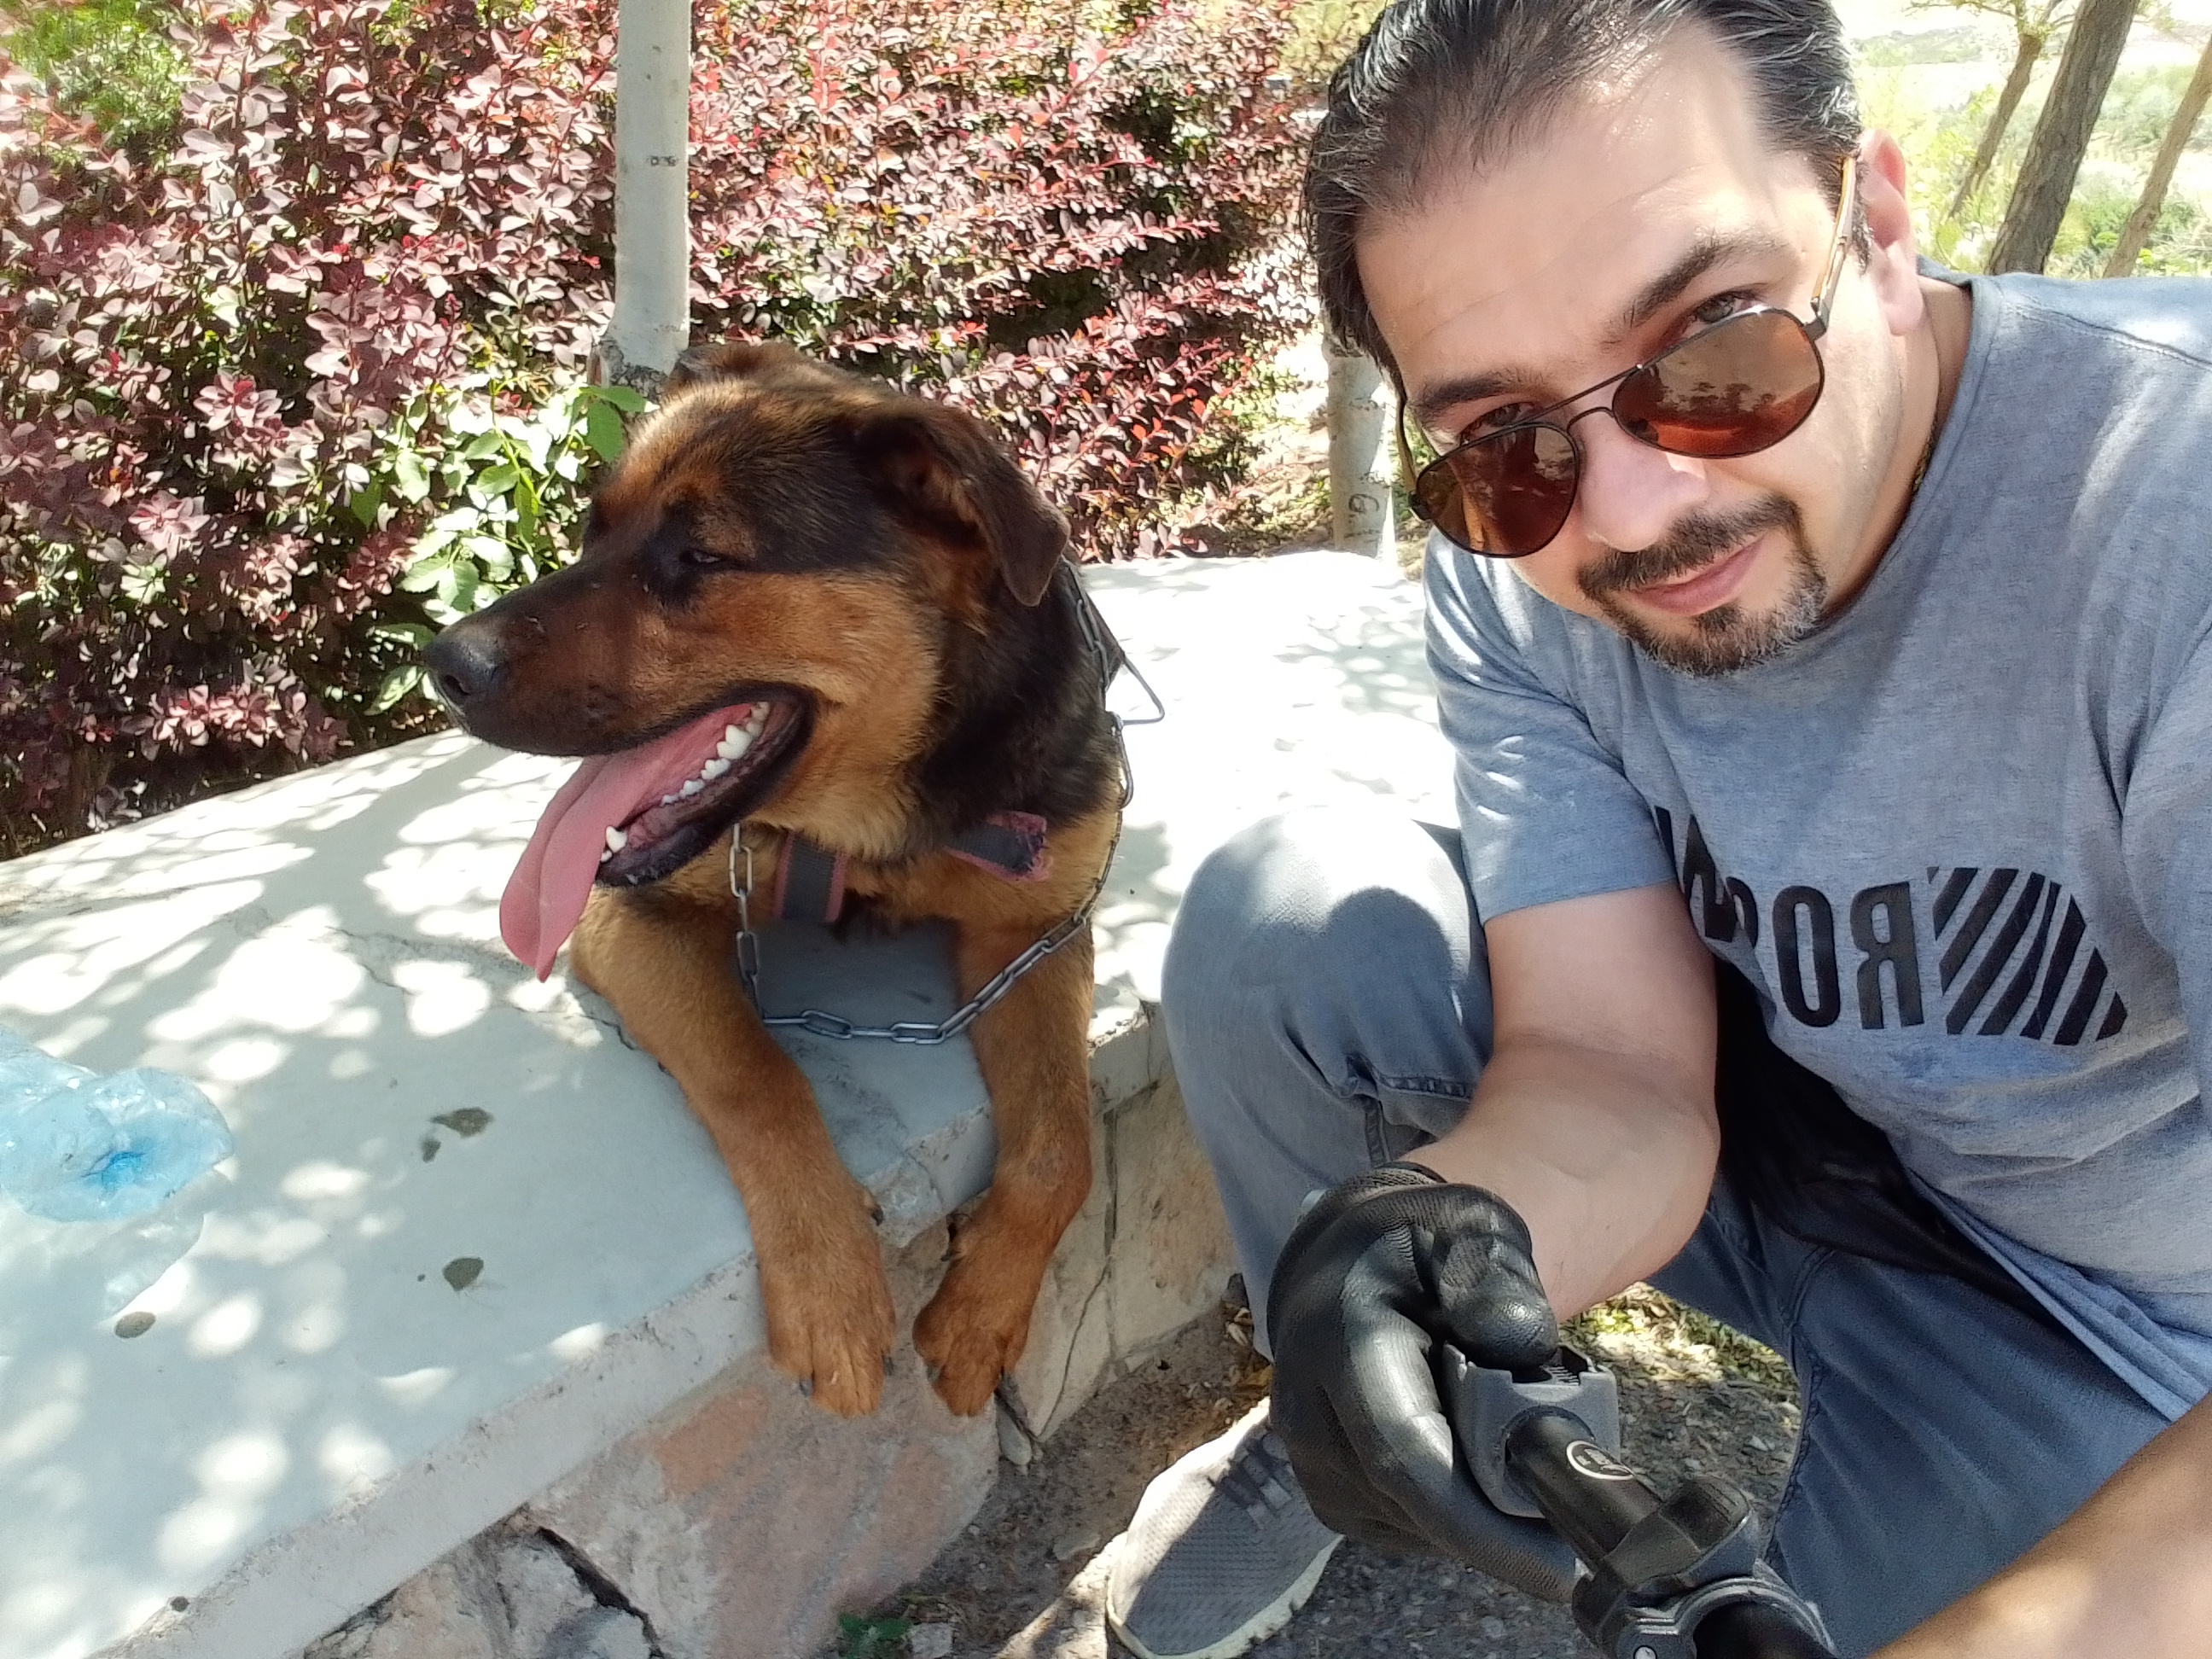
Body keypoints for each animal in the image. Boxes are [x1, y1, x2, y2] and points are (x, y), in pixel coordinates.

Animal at [423, 342, 1122, 1418]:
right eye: (593, 530)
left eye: (701, 558)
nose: (443, 663)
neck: (875, 827)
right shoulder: (636, 919)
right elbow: (758, 1072)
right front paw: (832, 1292)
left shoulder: (1036, 931)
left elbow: (1060, 1148)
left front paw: (980, 1316)